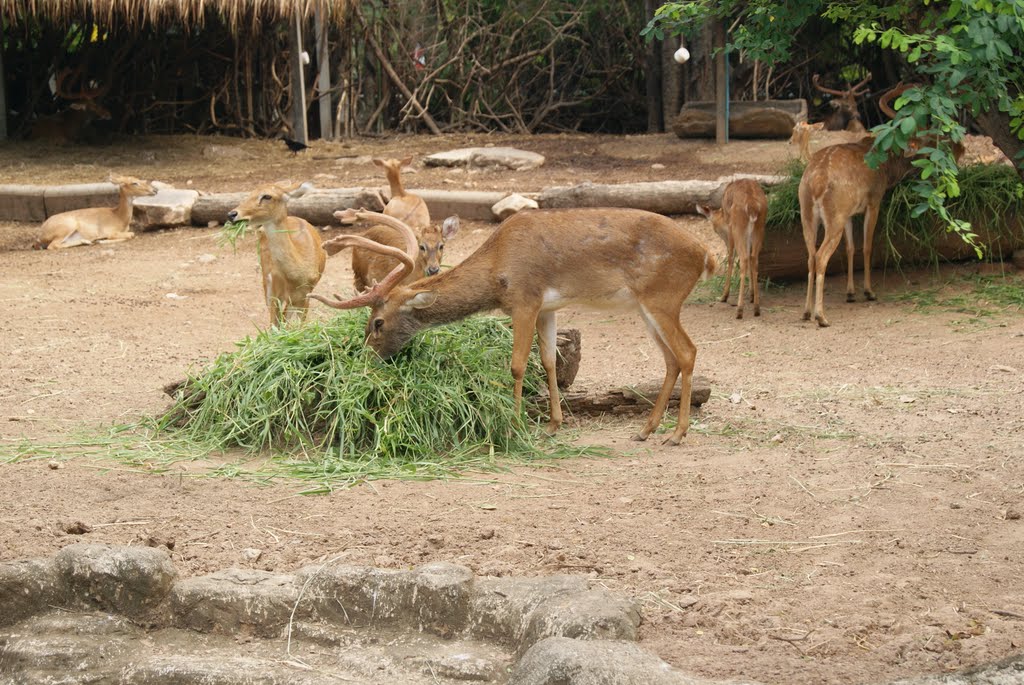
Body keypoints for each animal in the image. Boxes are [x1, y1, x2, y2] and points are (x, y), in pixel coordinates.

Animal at [226, 181, 325, 325]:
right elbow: (275, 325)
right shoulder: (275, 292)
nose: (232, 214)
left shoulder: (306, 294)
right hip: (266, 279)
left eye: (267, 196)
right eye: (250, 193)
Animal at [307, 205, 716, 446]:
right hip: (646, 307)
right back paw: (646, 429)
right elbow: (548, 361)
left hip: (663, 297)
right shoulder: (548, 307)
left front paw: (515, 425)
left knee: (688, 351)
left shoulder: (524, 299)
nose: (366, 357)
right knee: (670, 359)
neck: (496, 271)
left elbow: (518, 365)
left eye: (377, 322)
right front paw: (552, 425)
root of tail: (706, 254)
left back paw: (677, 433)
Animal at [696, 180, 770, 321]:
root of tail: (752, 206)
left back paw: (739, 310)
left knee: (744, 259)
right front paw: (751, 295)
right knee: (753, 258)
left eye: (713, 226)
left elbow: (730, 257)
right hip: (759, 229)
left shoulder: (730, 231)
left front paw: (723, 296)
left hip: (737, 228)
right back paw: (756, 308)